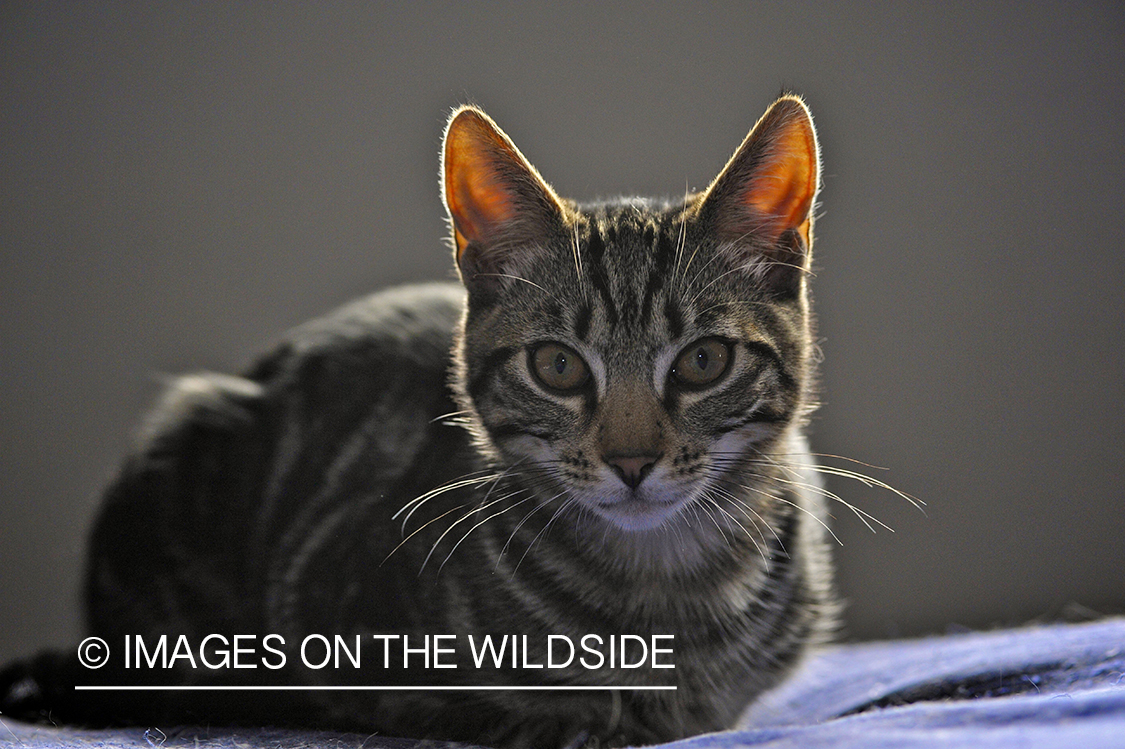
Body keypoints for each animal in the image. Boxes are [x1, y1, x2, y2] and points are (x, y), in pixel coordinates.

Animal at [0, 96, 841, 742]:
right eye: (557, 366)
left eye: (702, 361)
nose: (631, 461)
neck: (668, 591)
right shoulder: (335, 639)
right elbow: (493, 711)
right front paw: (582, 718)